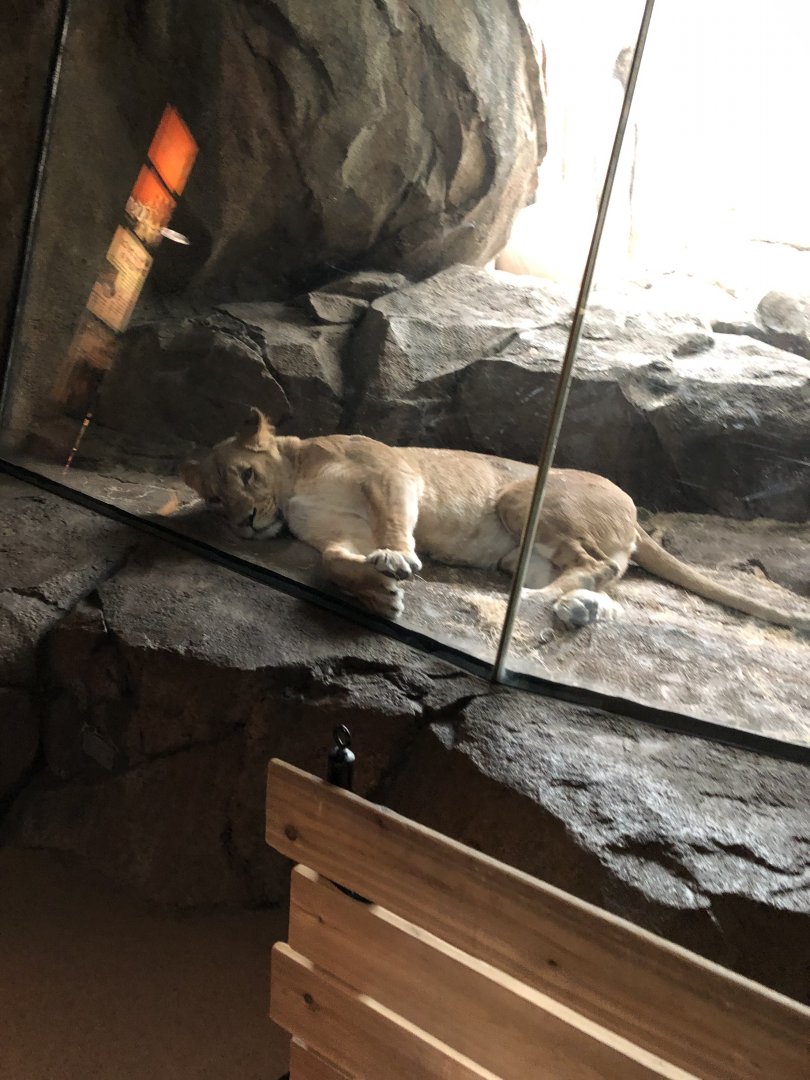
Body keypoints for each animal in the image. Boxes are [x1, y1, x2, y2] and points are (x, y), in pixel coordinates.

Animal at [179, 408, 810, 632]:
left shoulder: (391, 473)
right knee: (606, 575)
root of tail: (633, 510)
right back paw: (577, 609)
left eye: (246, 476)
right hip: (519, 552)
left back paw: (535, 604)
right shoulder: (339, 534)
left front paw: (396, 560)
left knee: (597, 563)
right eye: (214, 500)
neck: (295, 487)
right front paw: (377, 594)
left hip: (522, 496)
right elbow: (334, 564)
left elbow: (394, 521)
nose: (244, 523)